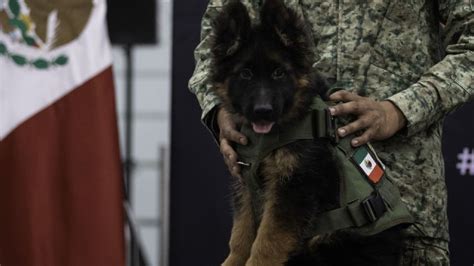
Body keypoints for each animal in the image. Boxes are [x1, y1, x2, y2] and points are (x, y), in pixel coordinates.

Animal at [210, 1, 404, 264]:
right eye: (245, 74)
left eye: (279, 73)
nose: (263, 112)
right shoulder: (245, 183)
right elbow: (241, 233)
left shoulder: (295, 187)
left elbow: (266, 241)